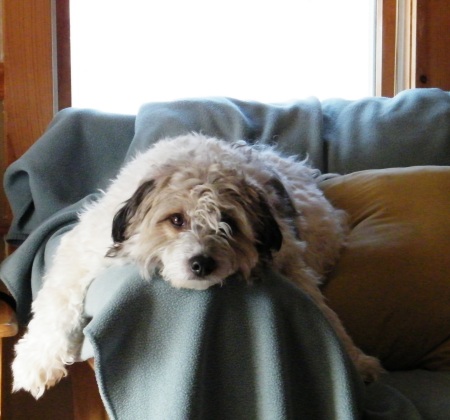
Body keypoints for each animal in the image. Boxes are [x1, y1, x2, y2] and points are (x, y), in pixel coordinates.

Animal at [12, 134, 382, 398]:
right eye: (176, 219)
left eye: (228, 222)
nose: (202, 263)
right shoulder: (81, 250)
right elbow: (56, 304)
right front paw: (36, 361)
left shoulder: (292, 263)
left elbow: (326, 314)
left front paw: (356, 359)